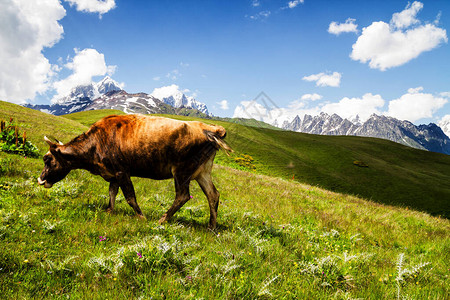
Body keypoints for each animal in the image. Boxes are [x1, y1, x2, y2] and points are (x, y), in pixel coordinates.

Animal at [37, 113, 232, 229]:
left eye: (48, 160)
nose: (40, 180)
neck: (95, 143)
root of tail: (212, 128)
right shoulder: (113, 174)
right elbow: (112, 193)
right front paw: (109, 211)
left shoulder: (122, 172)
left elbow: (130, 197)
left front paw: (141, 217)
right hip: (202, 171)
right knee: (213, 195)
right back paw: (211, 226)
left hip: (182, 171)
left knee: (183, 196)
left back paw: (162, 219)